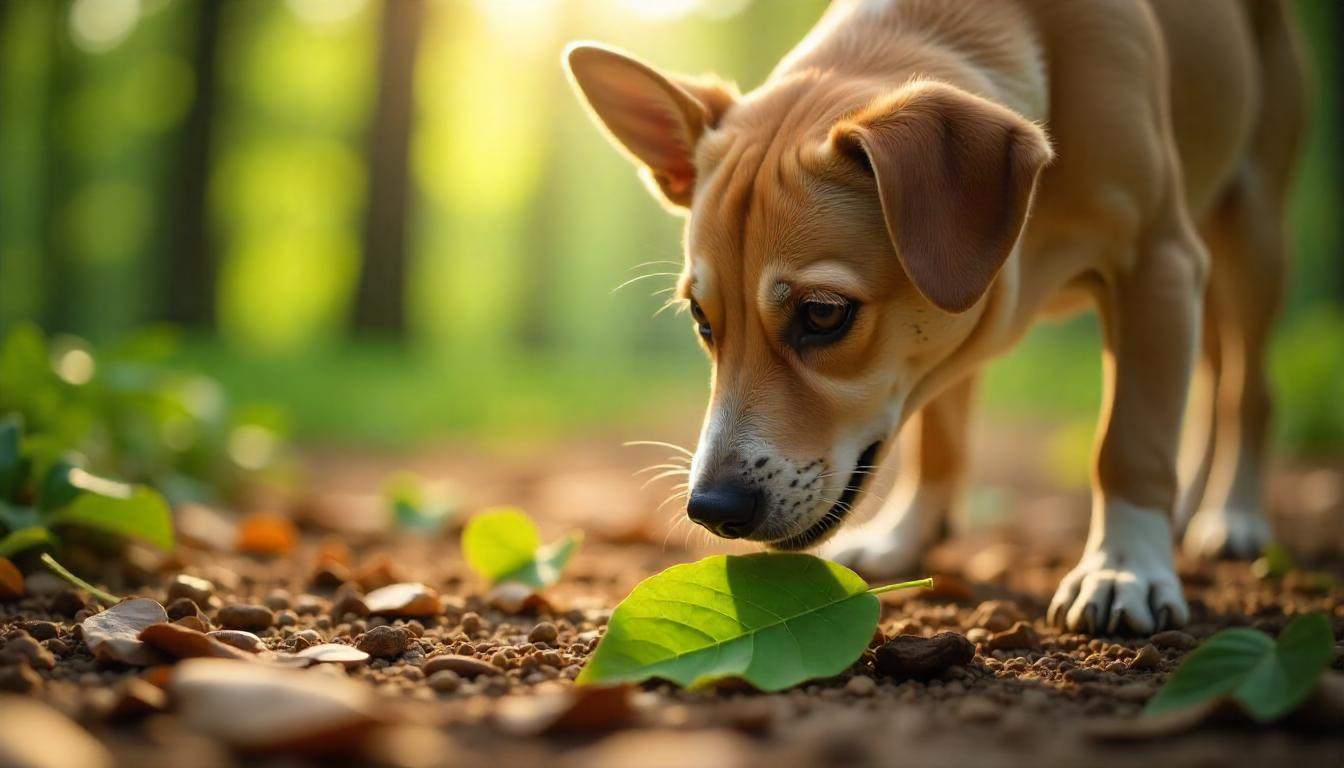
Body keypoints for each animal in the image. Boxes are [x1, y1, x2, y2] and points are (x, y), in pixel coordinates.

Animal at [564, 0, 1300, 634]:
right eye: (702, 318)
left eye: (823, 314)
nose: (712, 510)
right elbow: (941, 438)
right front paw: (906, 534)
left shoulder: (1158, 263)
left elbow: (1129, 439)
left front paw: (1124, 569)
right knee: (1210, 376)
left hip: (1252, 230)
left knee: (1248, 390)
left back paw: (1232, 516)